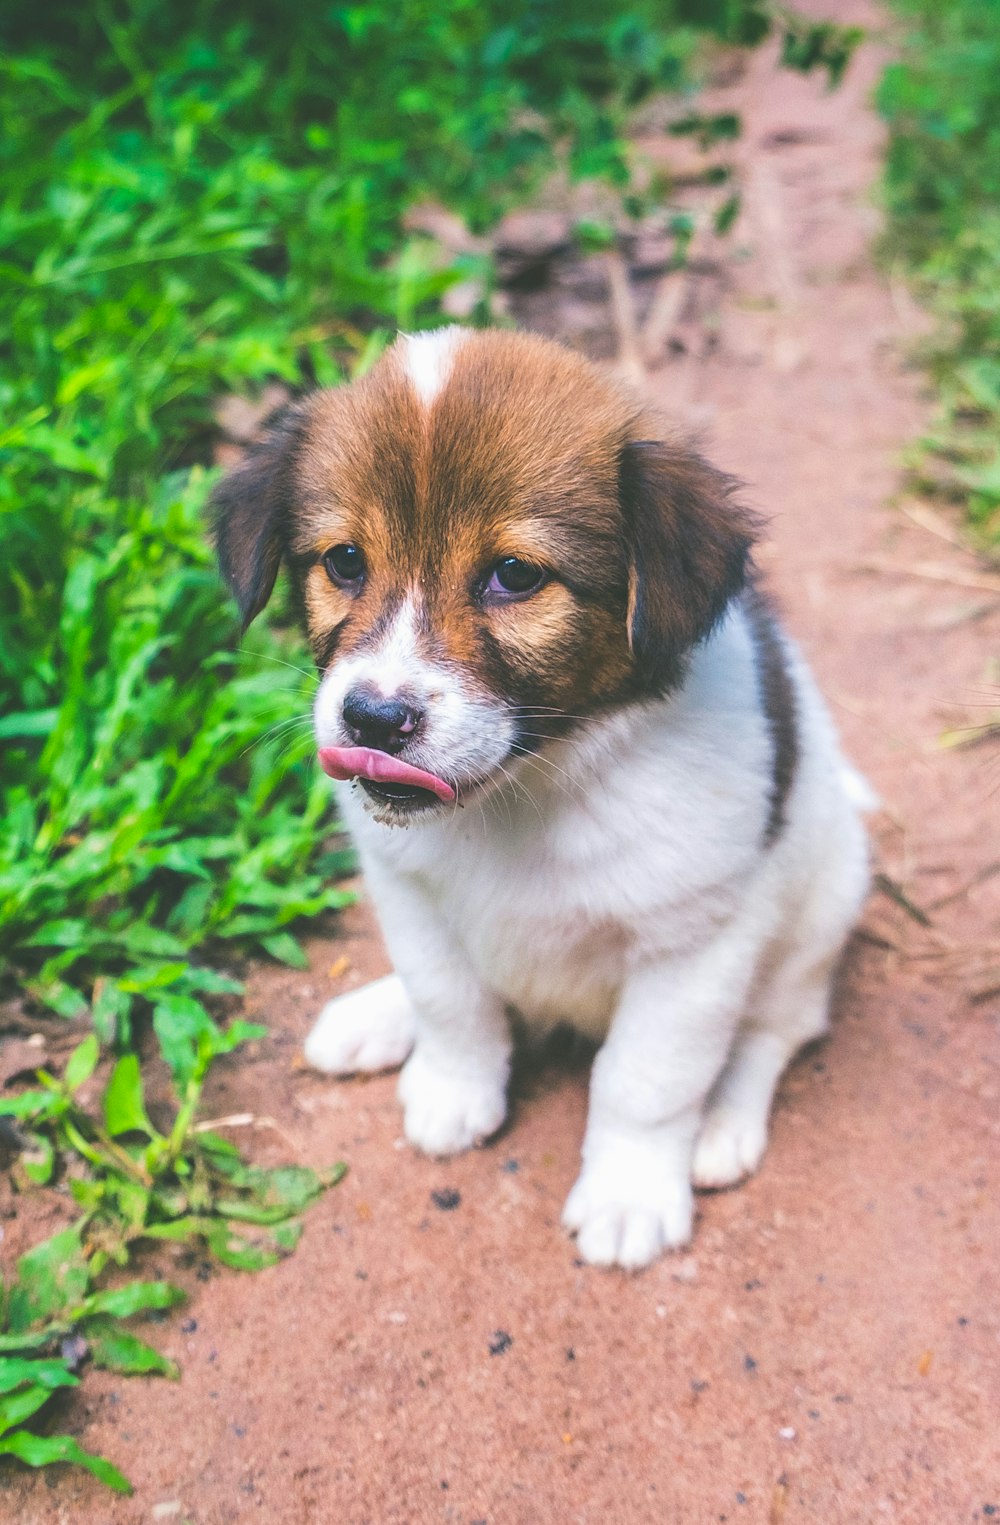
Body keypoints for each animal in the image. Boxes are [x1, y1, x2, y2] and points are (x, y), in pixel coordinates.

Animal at [214, 327, 871, 1268]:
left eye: (515, 575)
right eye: (344, 561)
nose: (372, 718)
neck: (527, 791)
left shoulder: (694, 943)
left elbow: (647, 1076)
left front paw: (630, 1192)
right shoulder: (406, 885)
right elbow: (447, 996)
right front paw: (453, 1085)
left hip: (819, 911)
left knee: (777, 1028)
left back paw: (723, 1123)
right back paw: (376, 1017)